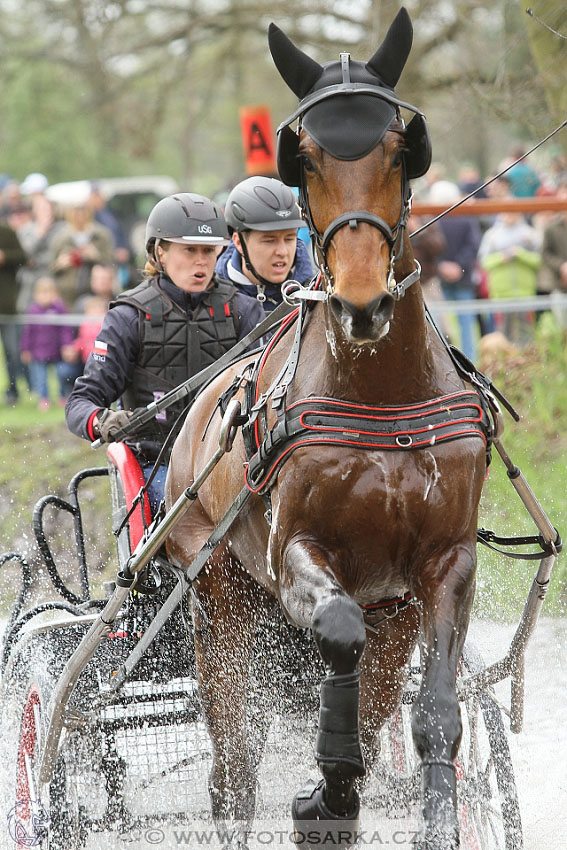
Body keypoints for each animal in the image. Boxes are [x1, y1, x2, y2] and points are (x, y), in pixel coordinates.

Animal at [163, 8, 488, 848]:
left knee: (374, 705)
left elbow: (434, 715)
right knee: (234, 766)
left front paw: (417, 812)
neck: (381, 398)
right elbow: (336, 632)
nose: (362, 303)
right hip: (222, 602)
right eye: (301, 157)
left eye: (401, 150)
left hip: (393, 613)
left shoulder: (442, 563)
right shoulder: (294, 556)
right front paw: (323, 792)